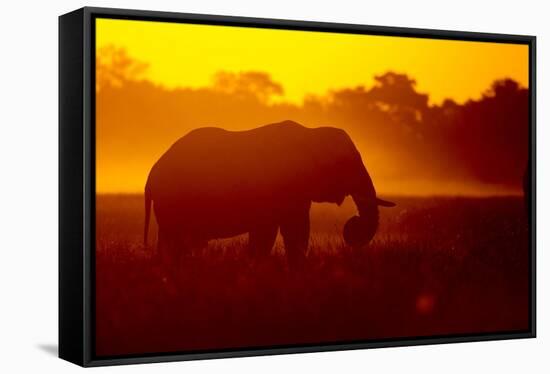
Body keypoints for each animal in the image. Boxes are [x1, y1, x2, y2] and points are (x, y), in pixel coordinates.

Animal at [144, 121, 394, 270]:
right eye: (348, 164)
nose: (352, 225)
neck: (311, 134)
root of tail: (152, 173)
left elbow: (283, 230)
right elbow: (286, 229)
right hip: (173, 201)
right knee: (175, 240)